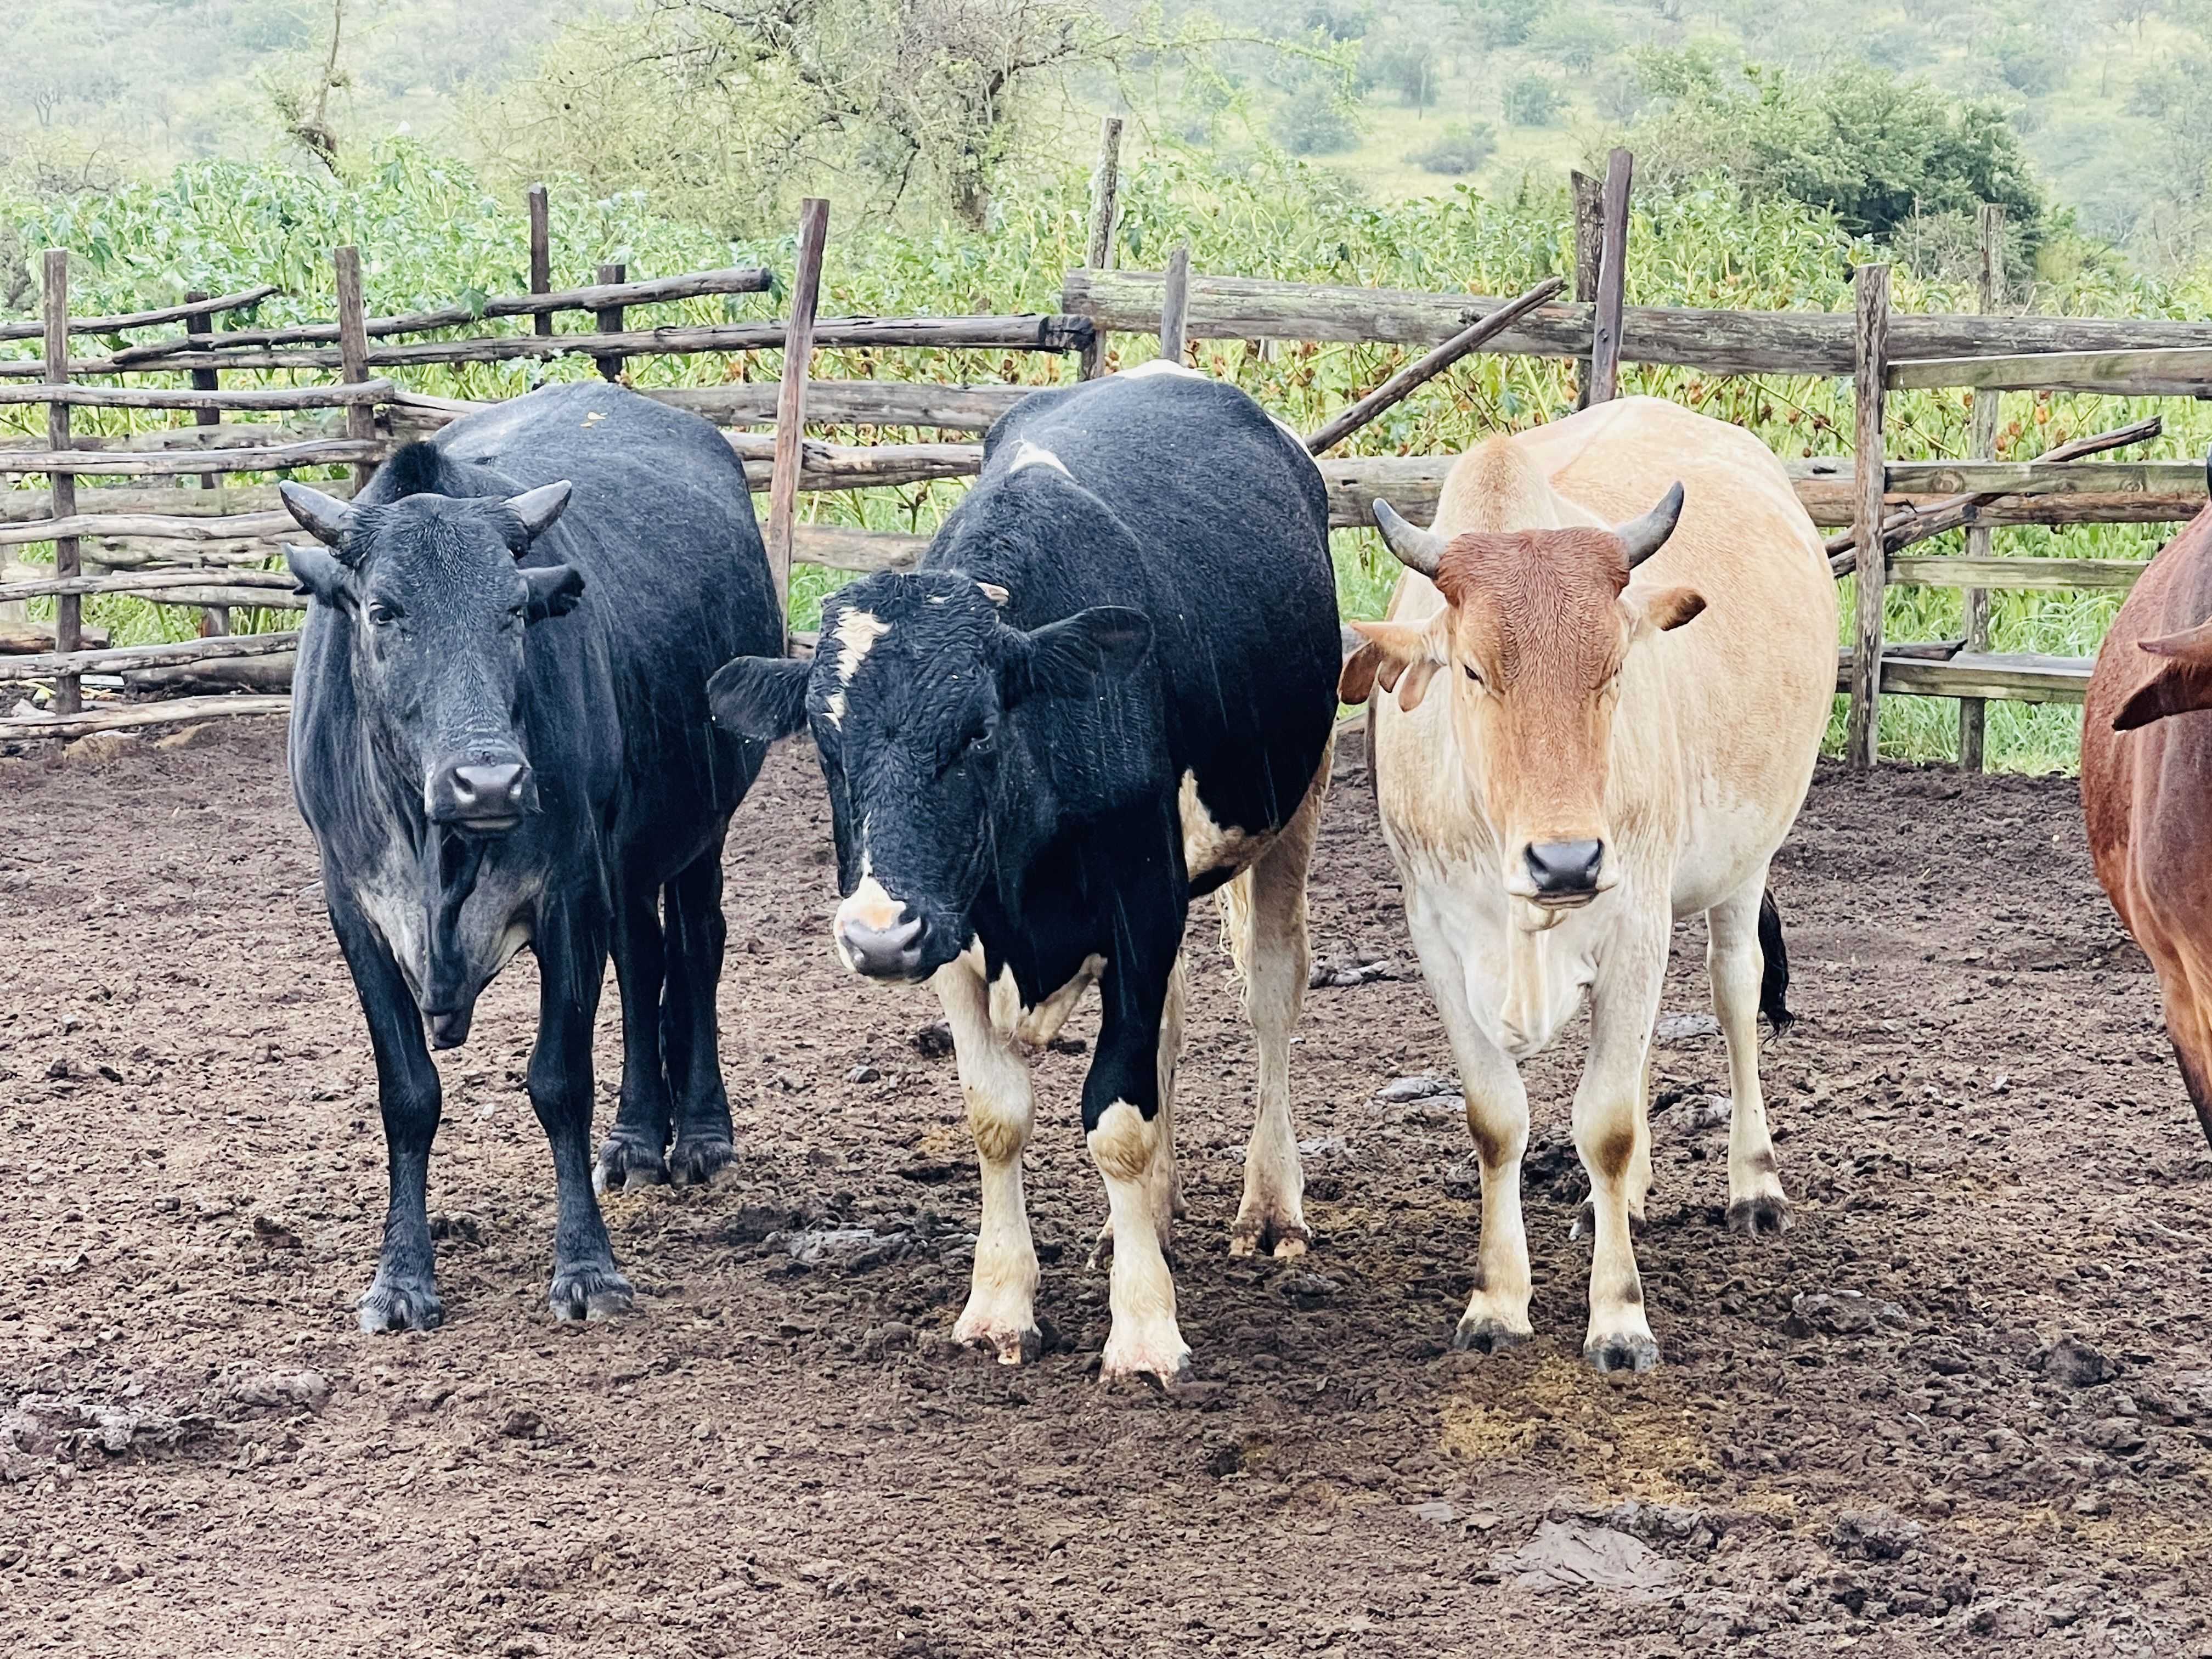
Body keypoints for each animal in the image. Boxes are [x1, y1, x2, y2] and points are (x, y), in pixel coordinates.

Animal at [280, 381, 781, 1331]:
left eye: (513, 611)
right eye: (383, 611)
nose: (489, 781)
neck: (439, 849)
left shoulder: (570, 892)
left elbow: (559, 1080)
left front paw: (587, 1267)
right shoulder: (352, 908)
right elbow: (408, 1094)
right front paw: (401, 1279)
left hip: (703, 824)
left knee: (696, 947)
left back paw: (699, 1133)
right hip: (633, 859)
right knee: (645, 959)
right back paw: (637, 1139)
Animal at [707, 365, 1341, 1382]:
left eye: (978, 732)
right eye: (827, 747)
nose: (875, 935)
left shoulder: (1138, 904)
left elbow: (1118, 1118)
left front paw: (1144, 1327)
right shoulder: (955, 923)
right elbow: (997, 1115)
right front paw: (1001, 1302)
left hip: (1296, 800)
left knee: (1271, 994)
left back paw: (1272, 1206)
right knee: (1171, 1020)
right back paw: (1152, 1219)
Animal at [1339, 395, 1835, 1371]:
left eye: (1612, 668)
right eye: (1473, 670)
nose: (1566, 862)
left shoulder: (1636, 912)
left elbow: (1602, 1125)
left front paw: (1620, 1319)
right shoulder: (1437, 937)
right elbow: (1497, 1120)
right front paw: (1497, 1303)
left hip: (1741, 866)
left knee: (1735, 997)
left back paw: (1753, 1186)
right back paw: (1634, 1198)